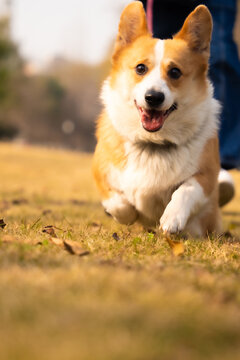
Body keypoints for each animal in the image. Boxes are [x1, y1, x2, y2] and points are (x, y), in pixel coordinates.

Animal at [92, 2, 221, 236]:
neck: (153, 142)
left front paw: (172, 218)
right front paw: (129, 213)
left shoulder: (206, 177)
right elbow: (118, 203)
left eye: (175, 72)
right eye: (140, 68)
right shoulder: (100, 173)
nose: (153, 97)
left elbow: (186, 189)